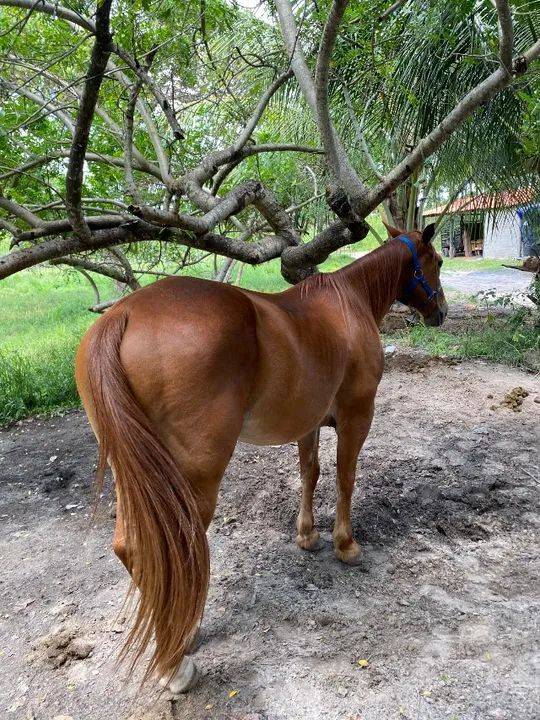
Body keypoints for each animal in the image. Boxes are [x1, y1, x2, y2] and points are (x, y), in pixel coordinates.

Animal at [75, 223, 447, 693]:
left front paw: (307, 536)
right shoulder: (357, 416)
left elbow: (310, 473)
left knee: (135, 549)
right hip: (190, 479)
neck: (349, 304)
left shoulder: (309, 422)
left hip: (137, 473)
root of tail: (123, 315)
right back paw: (175, 663)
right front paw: (345, 545)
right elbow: (345, 477)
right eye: (437, 261)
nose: (441, 312)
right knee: (163, 549)